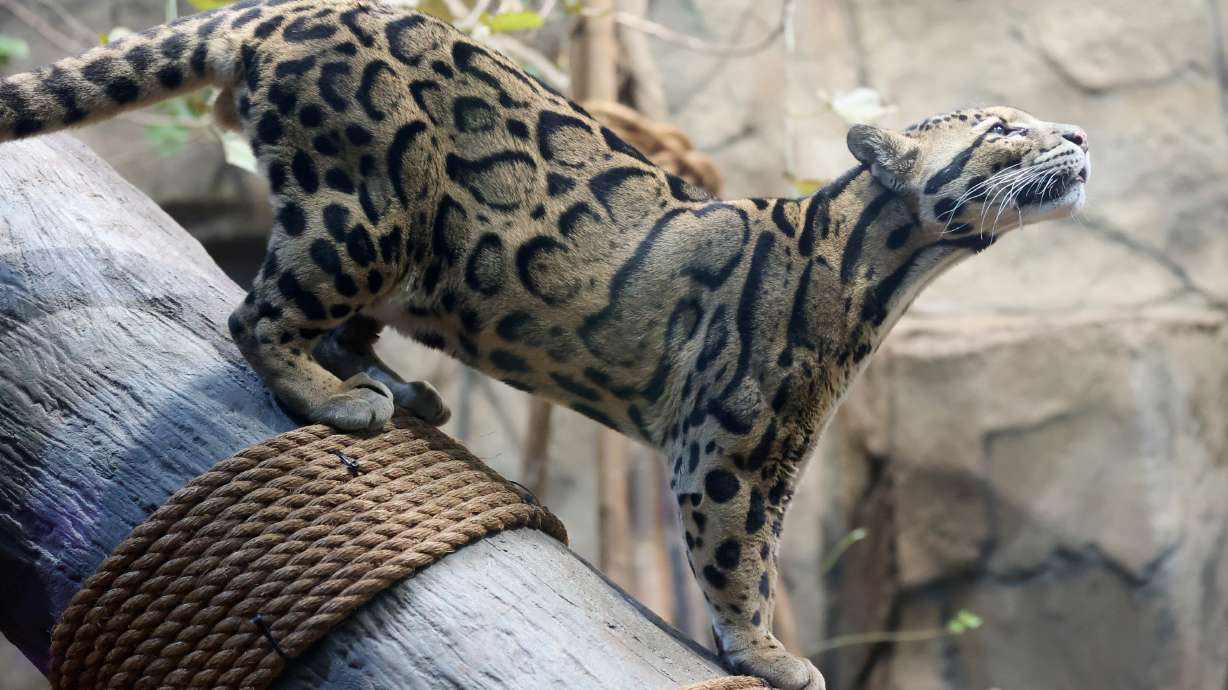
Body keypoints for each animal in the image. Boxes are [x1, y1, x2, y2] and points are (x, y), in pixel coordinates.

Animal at [0, 1, 1090, 687]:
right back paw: (332, 396)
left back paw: (398, 386)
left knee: (335, 318)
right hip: (365, 207)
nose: (1081, 135)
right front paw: (767, 653)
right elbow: (742, 559)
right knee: (256, 314)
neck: (881, 273)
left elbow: (756, 555)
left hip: (392, 240)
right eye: (1004, 128)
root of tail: (280, 14)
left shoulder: (767, 459)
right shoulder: (730, 451)